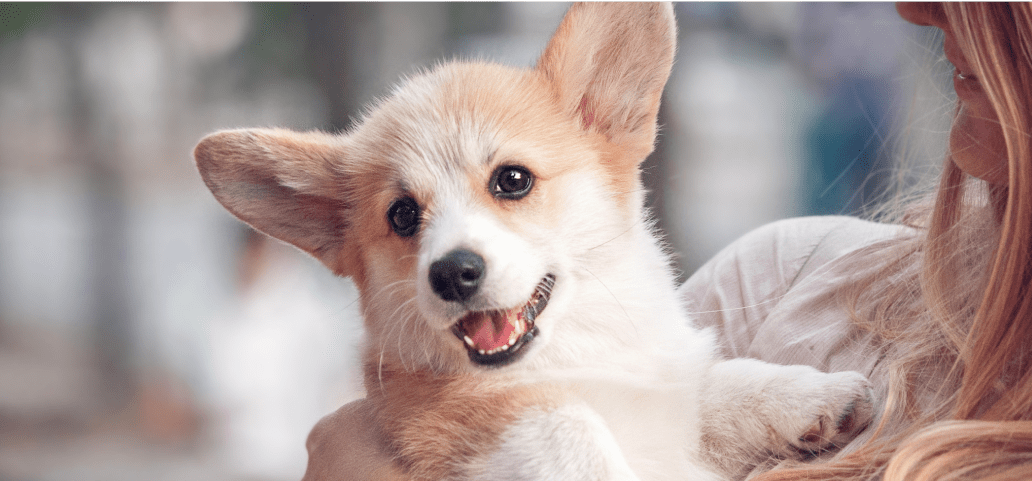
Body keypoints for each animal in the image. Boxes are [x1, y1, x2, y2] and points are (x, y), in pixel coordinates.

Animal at [195, 3, 871, 481]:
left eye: (512, 180)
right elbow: (566, 425)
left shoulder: (662, 388)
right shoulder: (448, 417)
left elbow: (713, 386)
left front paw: (818, 394)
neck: (578, 354)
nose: (453, 272)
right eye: (403, 216)